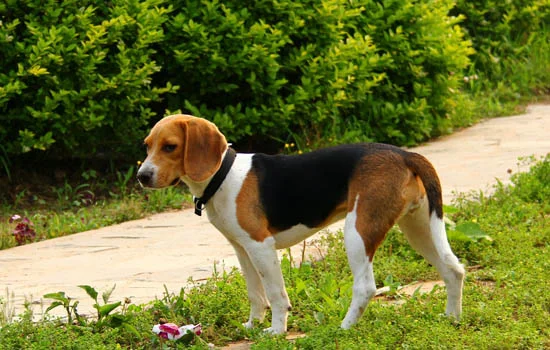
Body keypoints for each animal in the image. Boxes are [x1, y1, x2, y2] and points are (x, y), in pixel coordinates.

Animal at [138, 114, 466, 334]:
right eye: (147, 146)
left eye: (170, 147)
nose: (142, 176)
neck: (223, 175)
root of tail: (405, 154)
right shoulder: (242, 250)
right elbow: (255, 294)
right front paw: (251, 326)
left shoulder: (261, 247)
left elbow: (275, 294)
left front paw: (275, 331)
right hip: (418, 228)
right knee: (453, 270)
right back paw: (451, 318)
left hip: (358, 231)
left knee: (365, 287)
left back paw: (343, 328)